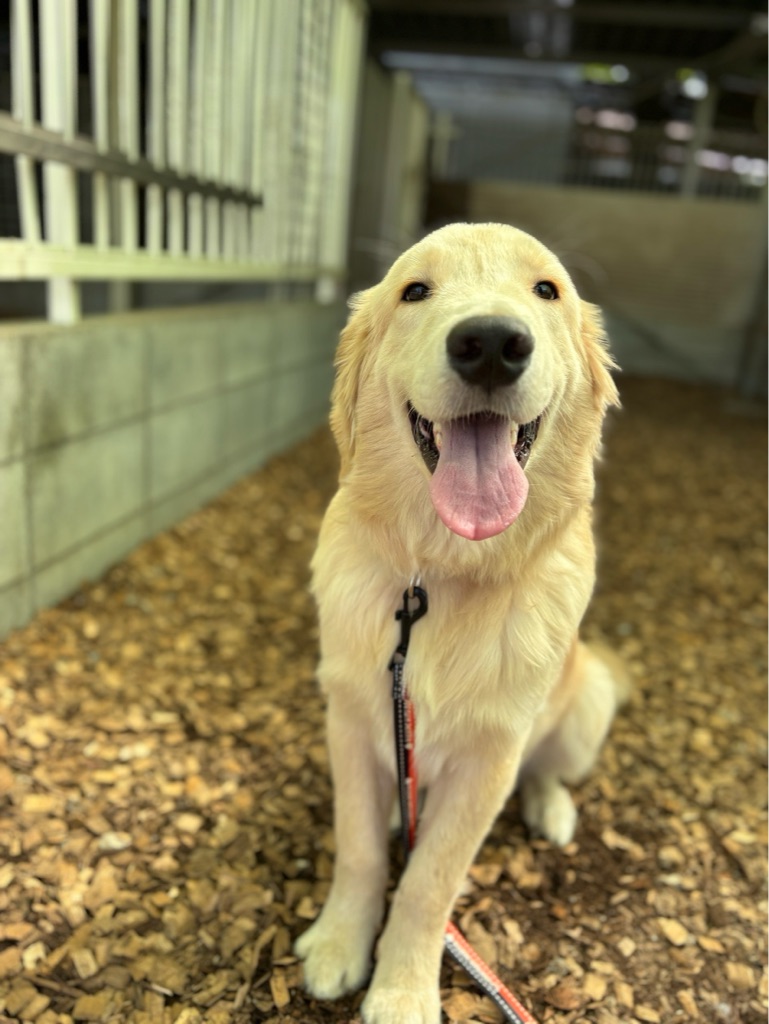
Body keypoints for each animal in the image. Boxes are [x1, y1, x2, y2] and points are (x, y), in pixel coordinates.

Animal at [295, 222, 625, 1024]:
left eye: (547, 289)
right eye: (415, 290)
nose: (491, 343)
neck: (438, 576)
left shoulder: (490, 757)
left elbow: (428, 883)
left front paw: (402, 991)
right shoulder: (349, 716)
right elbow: (358, 847)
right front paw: (339, 944)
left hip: (588, 698)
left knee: (548, 772)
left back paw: (552, 810)